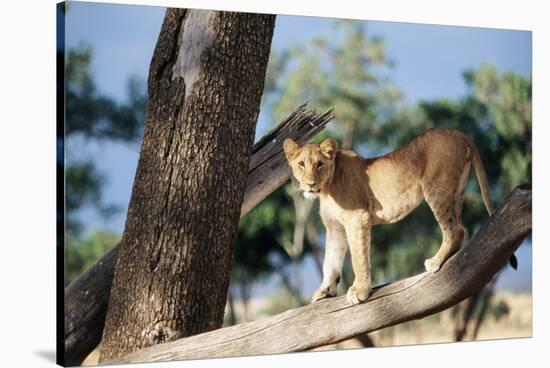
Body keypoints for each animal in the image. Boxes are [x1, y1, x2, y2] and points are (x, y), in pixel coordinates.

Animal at [284, 128, 516, 306]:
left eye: (319, 164)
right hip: (455, 192)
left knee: (455, 229)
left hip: (437, 189)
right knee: (459, 227)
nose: (310, 184)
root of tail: (458, 132)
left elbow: (359, 258)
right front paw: (325, 292)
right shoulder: (335, 228)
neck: (326, 189)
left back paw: (435, 261)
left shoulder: (357, 219)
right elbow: (330, 261)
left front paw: (360, 290)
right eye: (301, 164)